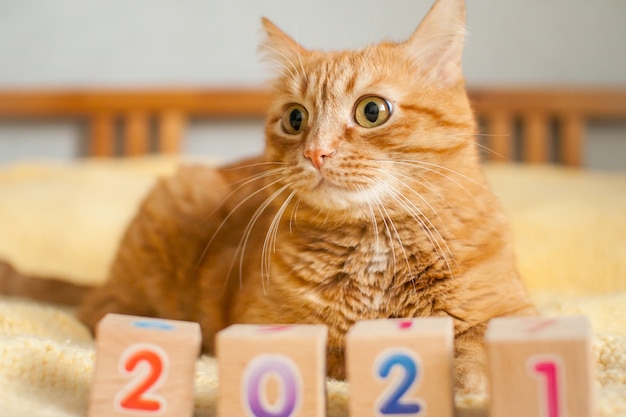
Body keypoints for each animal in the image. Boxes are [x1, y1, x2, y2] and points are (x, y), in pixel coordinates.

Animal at [2, 0, 532, 392]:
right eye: (295, 119)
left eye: (372, 111)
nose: (316, 152)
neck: (373, 250)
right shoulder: (272, 327)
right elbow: (339, 354)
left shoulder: (508, 312)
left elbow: (475, 342)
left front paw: (466, 378)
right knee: (101, 313)